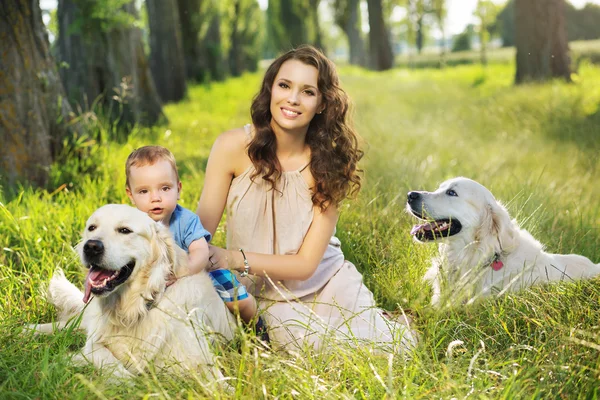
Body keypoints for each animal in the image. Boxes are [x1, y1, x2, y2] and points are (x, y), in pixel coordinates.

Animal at [28, 205, 234, 382]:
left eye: (125, 230)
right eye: (91, 228)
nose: (91, 246)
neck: (134, 308)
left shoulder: (199, 358)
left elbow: (220, 384)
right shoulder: (94, 344)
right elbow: (111, 363)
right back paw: (26, 331)